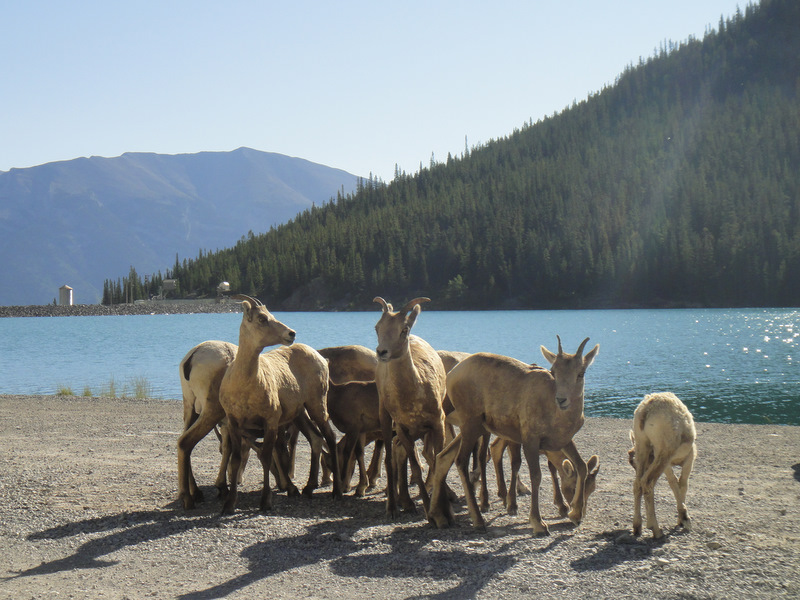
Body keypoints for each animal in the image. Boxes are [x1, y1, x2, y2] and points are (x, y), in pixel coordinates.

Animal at [218, 294, 342, 514]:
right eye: (262, 318)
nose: (291, 333)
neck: (245, 386)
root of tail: (321, 358)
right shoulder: (233, 422)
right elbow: (236, 460)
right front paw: (229, 505)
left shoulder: (271, 421)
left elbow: (267, 457)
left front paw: (266, 502)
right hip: (300, 413)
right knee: (316, 438)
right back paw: (308, 488)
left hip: (317, 405)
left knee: (330, 436)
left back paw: (336, 492)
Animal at [373, 296, 449, 518]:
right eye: (377, 327)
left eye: (404, 329)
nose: (382, 352)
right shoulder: (403, 428)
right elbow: (415, 466)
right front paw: (429, 511)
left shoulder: (437, 423)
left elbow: (438, 461)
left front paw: (443, 507)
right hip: (385, 415)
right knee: (391, 455)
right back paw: (394, 506)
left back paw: (406, 502)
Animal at [428, 336, 599, 535]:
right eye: (554, 372)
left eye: (581, 373)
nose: (561, 399)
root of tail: (452, 374)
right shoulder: (530, 441)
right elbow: (535, 475)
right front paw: (539, 524)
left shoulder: (564, 441)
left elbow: (581, 466)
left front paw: (575, 515)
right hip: (470, 426)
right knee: (461, 461)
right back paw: (478, 520)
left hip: (473, 429)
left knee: (443, 458)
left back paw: (437, 517)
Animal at [628, 392, 697, 539]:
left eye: (632, 463)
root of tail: (645, 411)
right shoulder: (689, 458)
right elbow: (683, 483)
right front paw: (684, 519)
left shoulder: (667, 466)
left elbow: (674, 483)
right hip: (664, 451)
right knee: (647, 482)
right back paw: (656, 529)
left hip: (643, 445)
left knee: (638, 483)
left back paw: (637, 527)